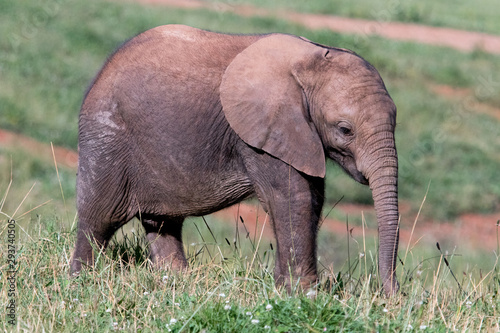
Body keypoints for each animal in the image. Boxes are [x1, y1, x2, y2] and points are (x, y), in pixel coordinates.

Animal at [71, 26, 398, 296]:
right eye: (345, 130)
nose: (391, 297)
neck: (311, 59)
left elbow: (311, 199)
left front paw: (286, 290)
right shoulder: (260, 133)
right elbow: (293, 198)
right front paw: (304, 296)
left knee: (163, 223)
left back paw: (176, 283)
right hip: (107, 136)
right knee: (99, 219)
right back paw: (82, 282)